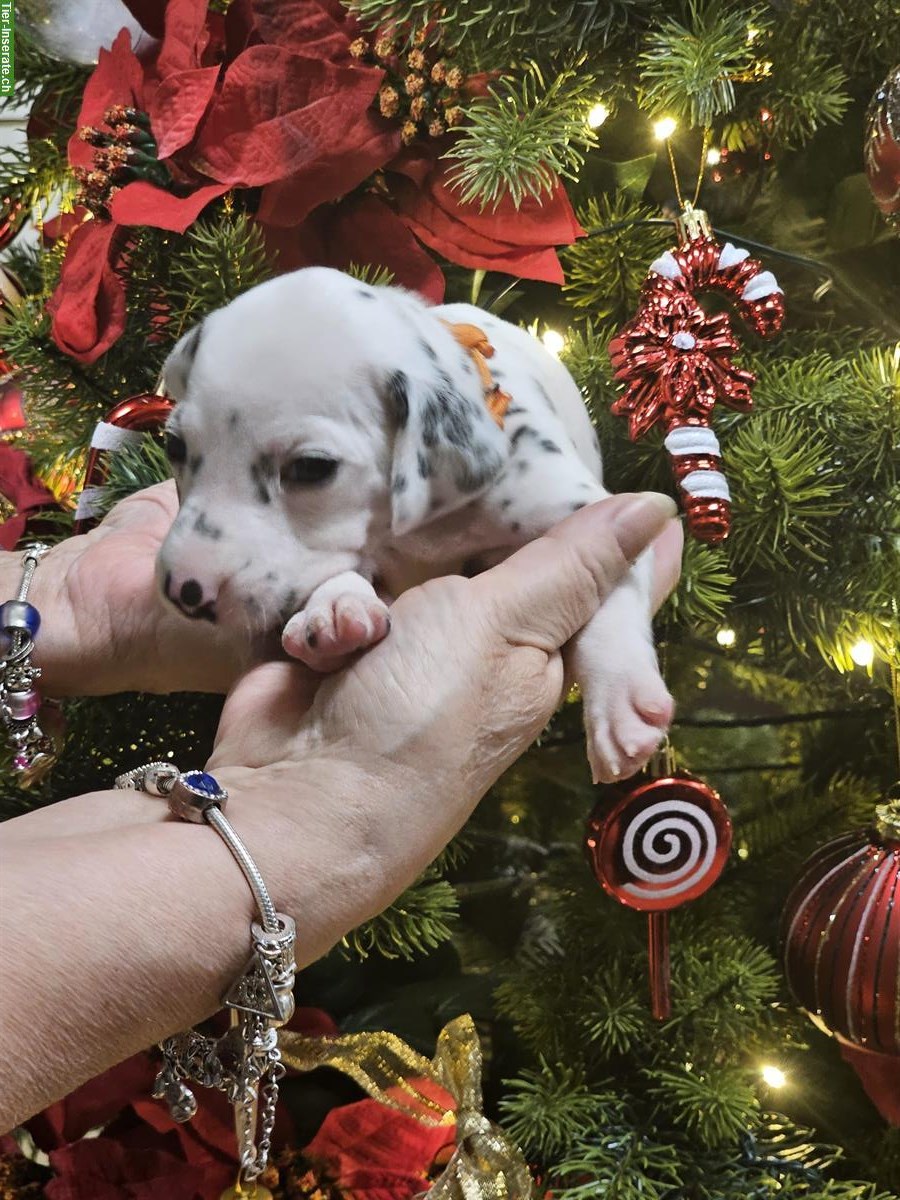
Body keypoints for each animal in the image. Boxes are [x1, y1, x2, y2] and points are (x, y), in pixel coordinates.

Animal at [158, 267, 672, 782]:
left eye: (311, 468)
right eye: (174, 446)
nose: (183, 591)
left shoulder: (584, 508)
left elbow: (614, 592)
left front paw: (620, 699)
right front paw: (335, 608)